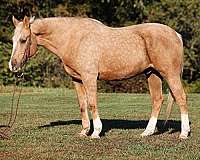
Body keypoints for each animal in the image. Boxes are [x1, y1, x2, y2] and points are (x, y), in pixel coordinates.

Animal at [9, 15, 191, 139]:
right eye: (12, 40)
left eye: (24, 40)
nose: (13, 66)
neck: (74, 39)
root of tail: (176, 34)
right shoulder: (77, 80)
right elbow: (82, 105)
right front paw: (84, 131)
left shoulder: (89, 78)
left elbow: (92, 103)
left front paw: (96, 132)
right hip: (152, 74)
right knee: (157, 100)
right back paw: (147, 132)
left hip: (170, 74)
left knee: (181, 98)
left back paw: (184, 133)